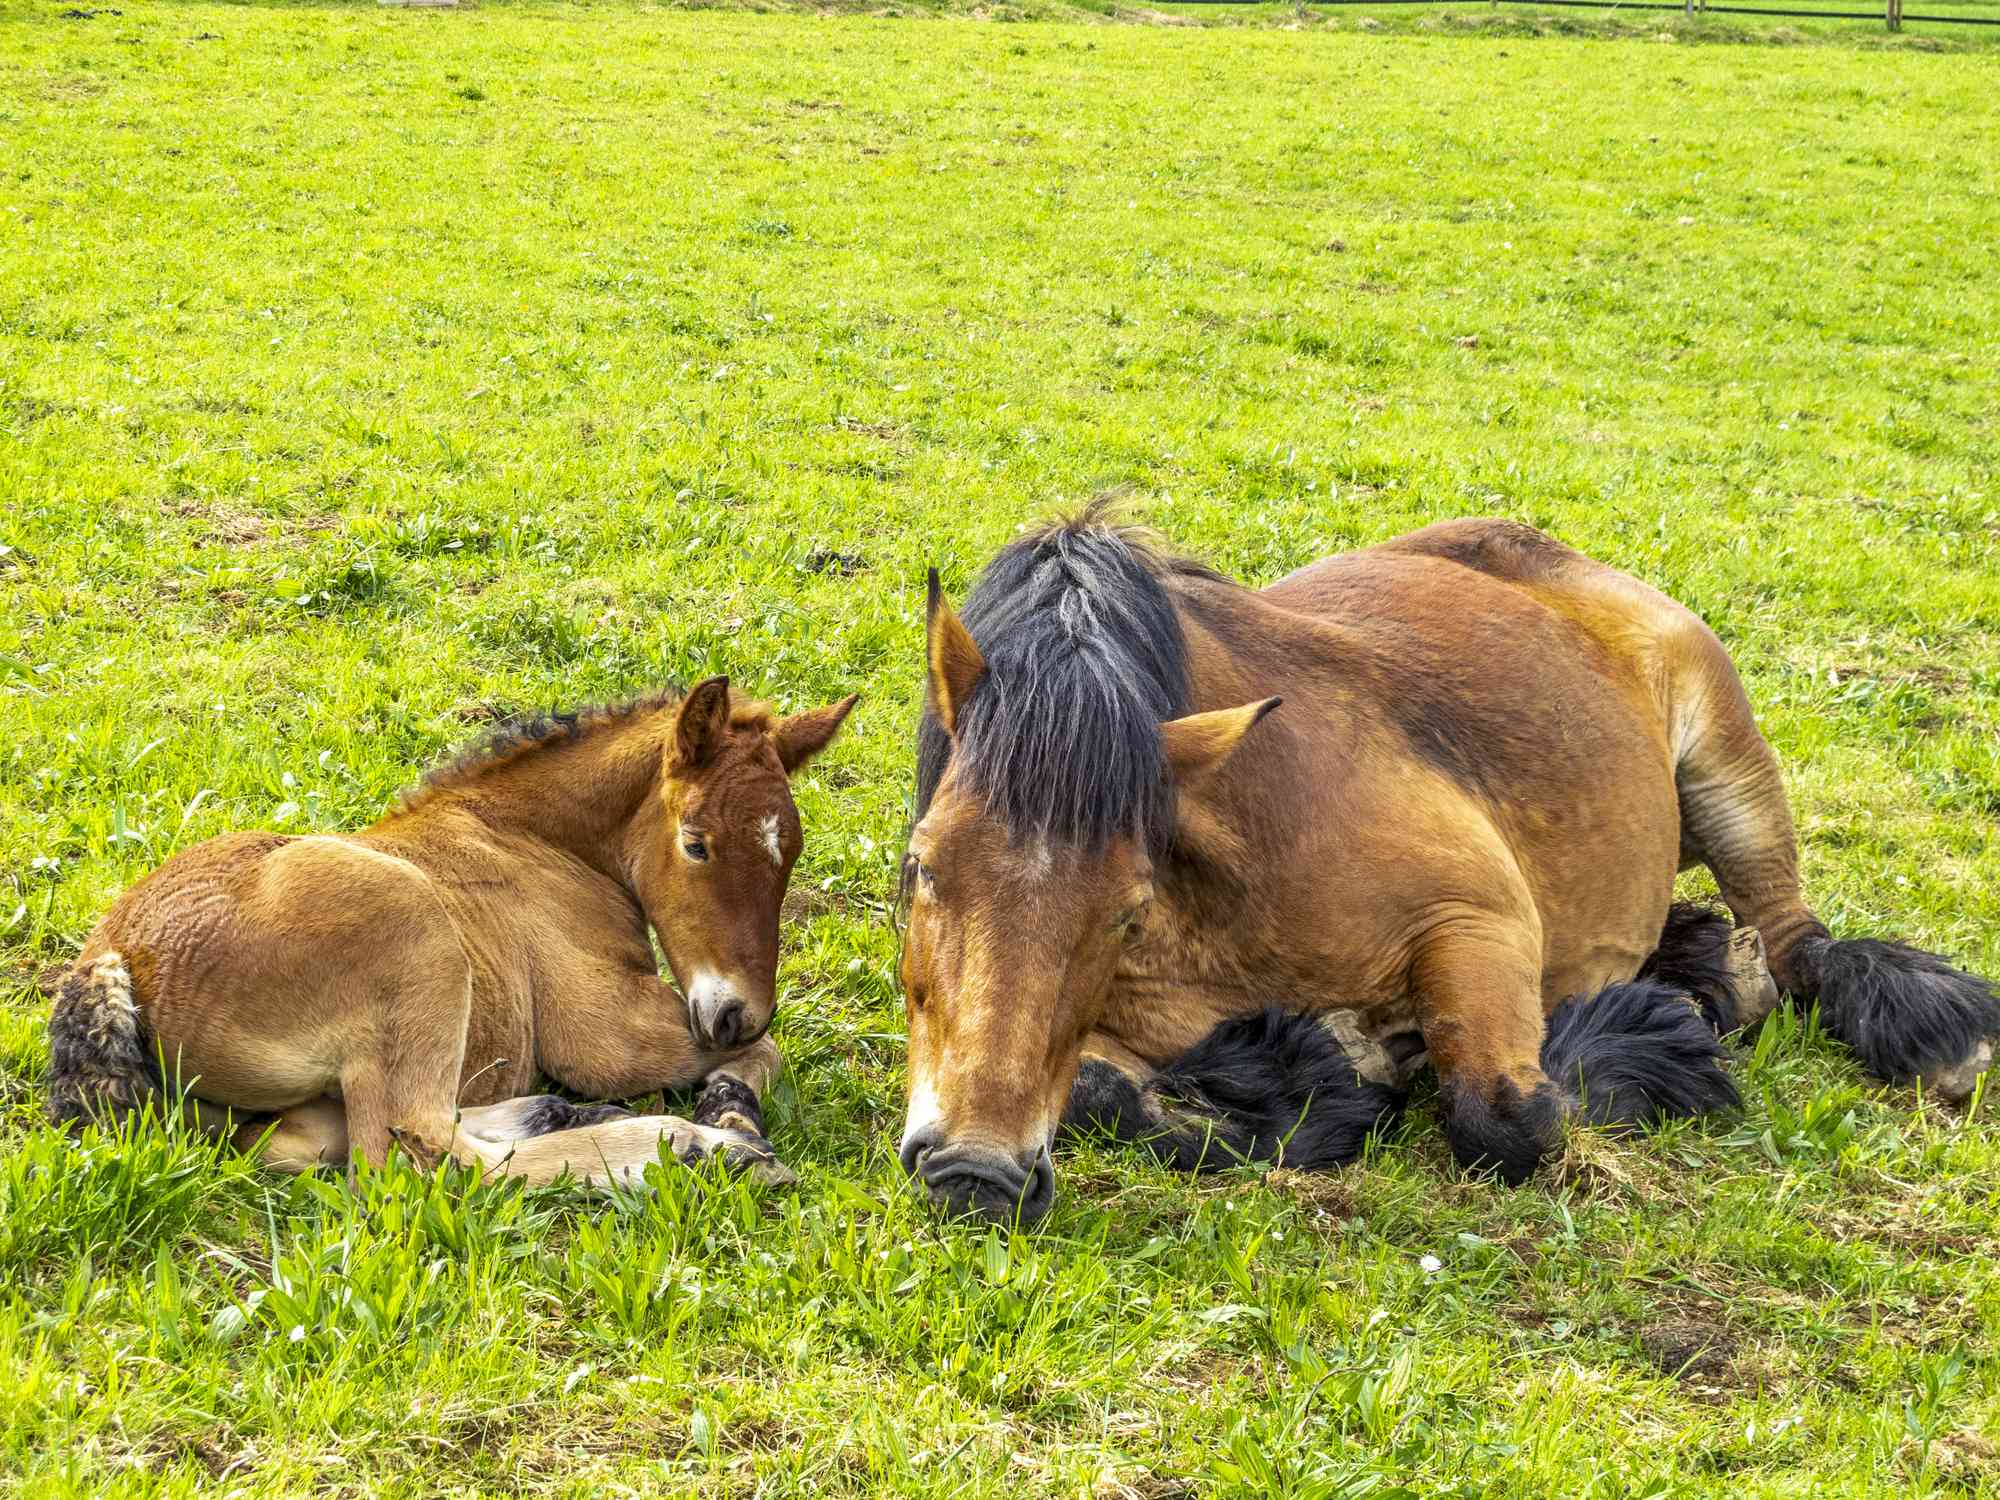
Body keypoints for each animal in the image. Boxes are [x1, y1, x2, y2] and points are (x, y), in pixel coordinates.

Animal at [900, 512, 1992, 1224]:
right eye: (921, 869)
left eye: (1126, 909)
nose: (974, 1173)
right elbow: (1097, 1091)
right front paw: (1324, 1069)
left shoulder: (1477, 921)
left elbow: (1508, 1114)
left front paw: (1642, 1040)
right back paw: (1711, 966)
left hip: (1729, 770)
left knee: (1803, 945)